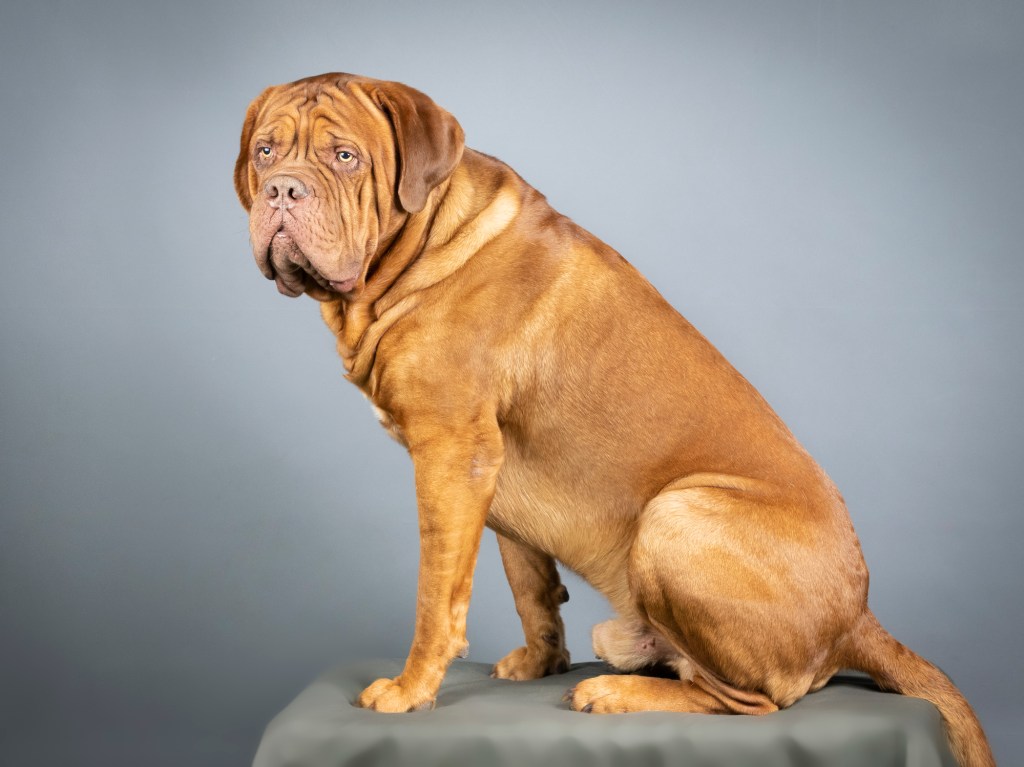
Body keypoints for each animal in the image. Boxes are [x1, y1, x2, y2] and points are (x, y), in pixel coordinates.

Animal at [234, 73, 991, 765]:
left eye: (344, 157)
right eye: (266, 151)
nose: (282, 191)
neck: (420, 248)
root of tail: (859, 619)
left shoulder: (452, 453)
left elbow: (436, 592)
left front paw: (409, 687)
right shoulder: (491, 475)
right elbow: (529, 584)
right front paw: (541, 661)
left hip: (676, 516)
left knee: (753, 701)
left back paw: (616, 694)